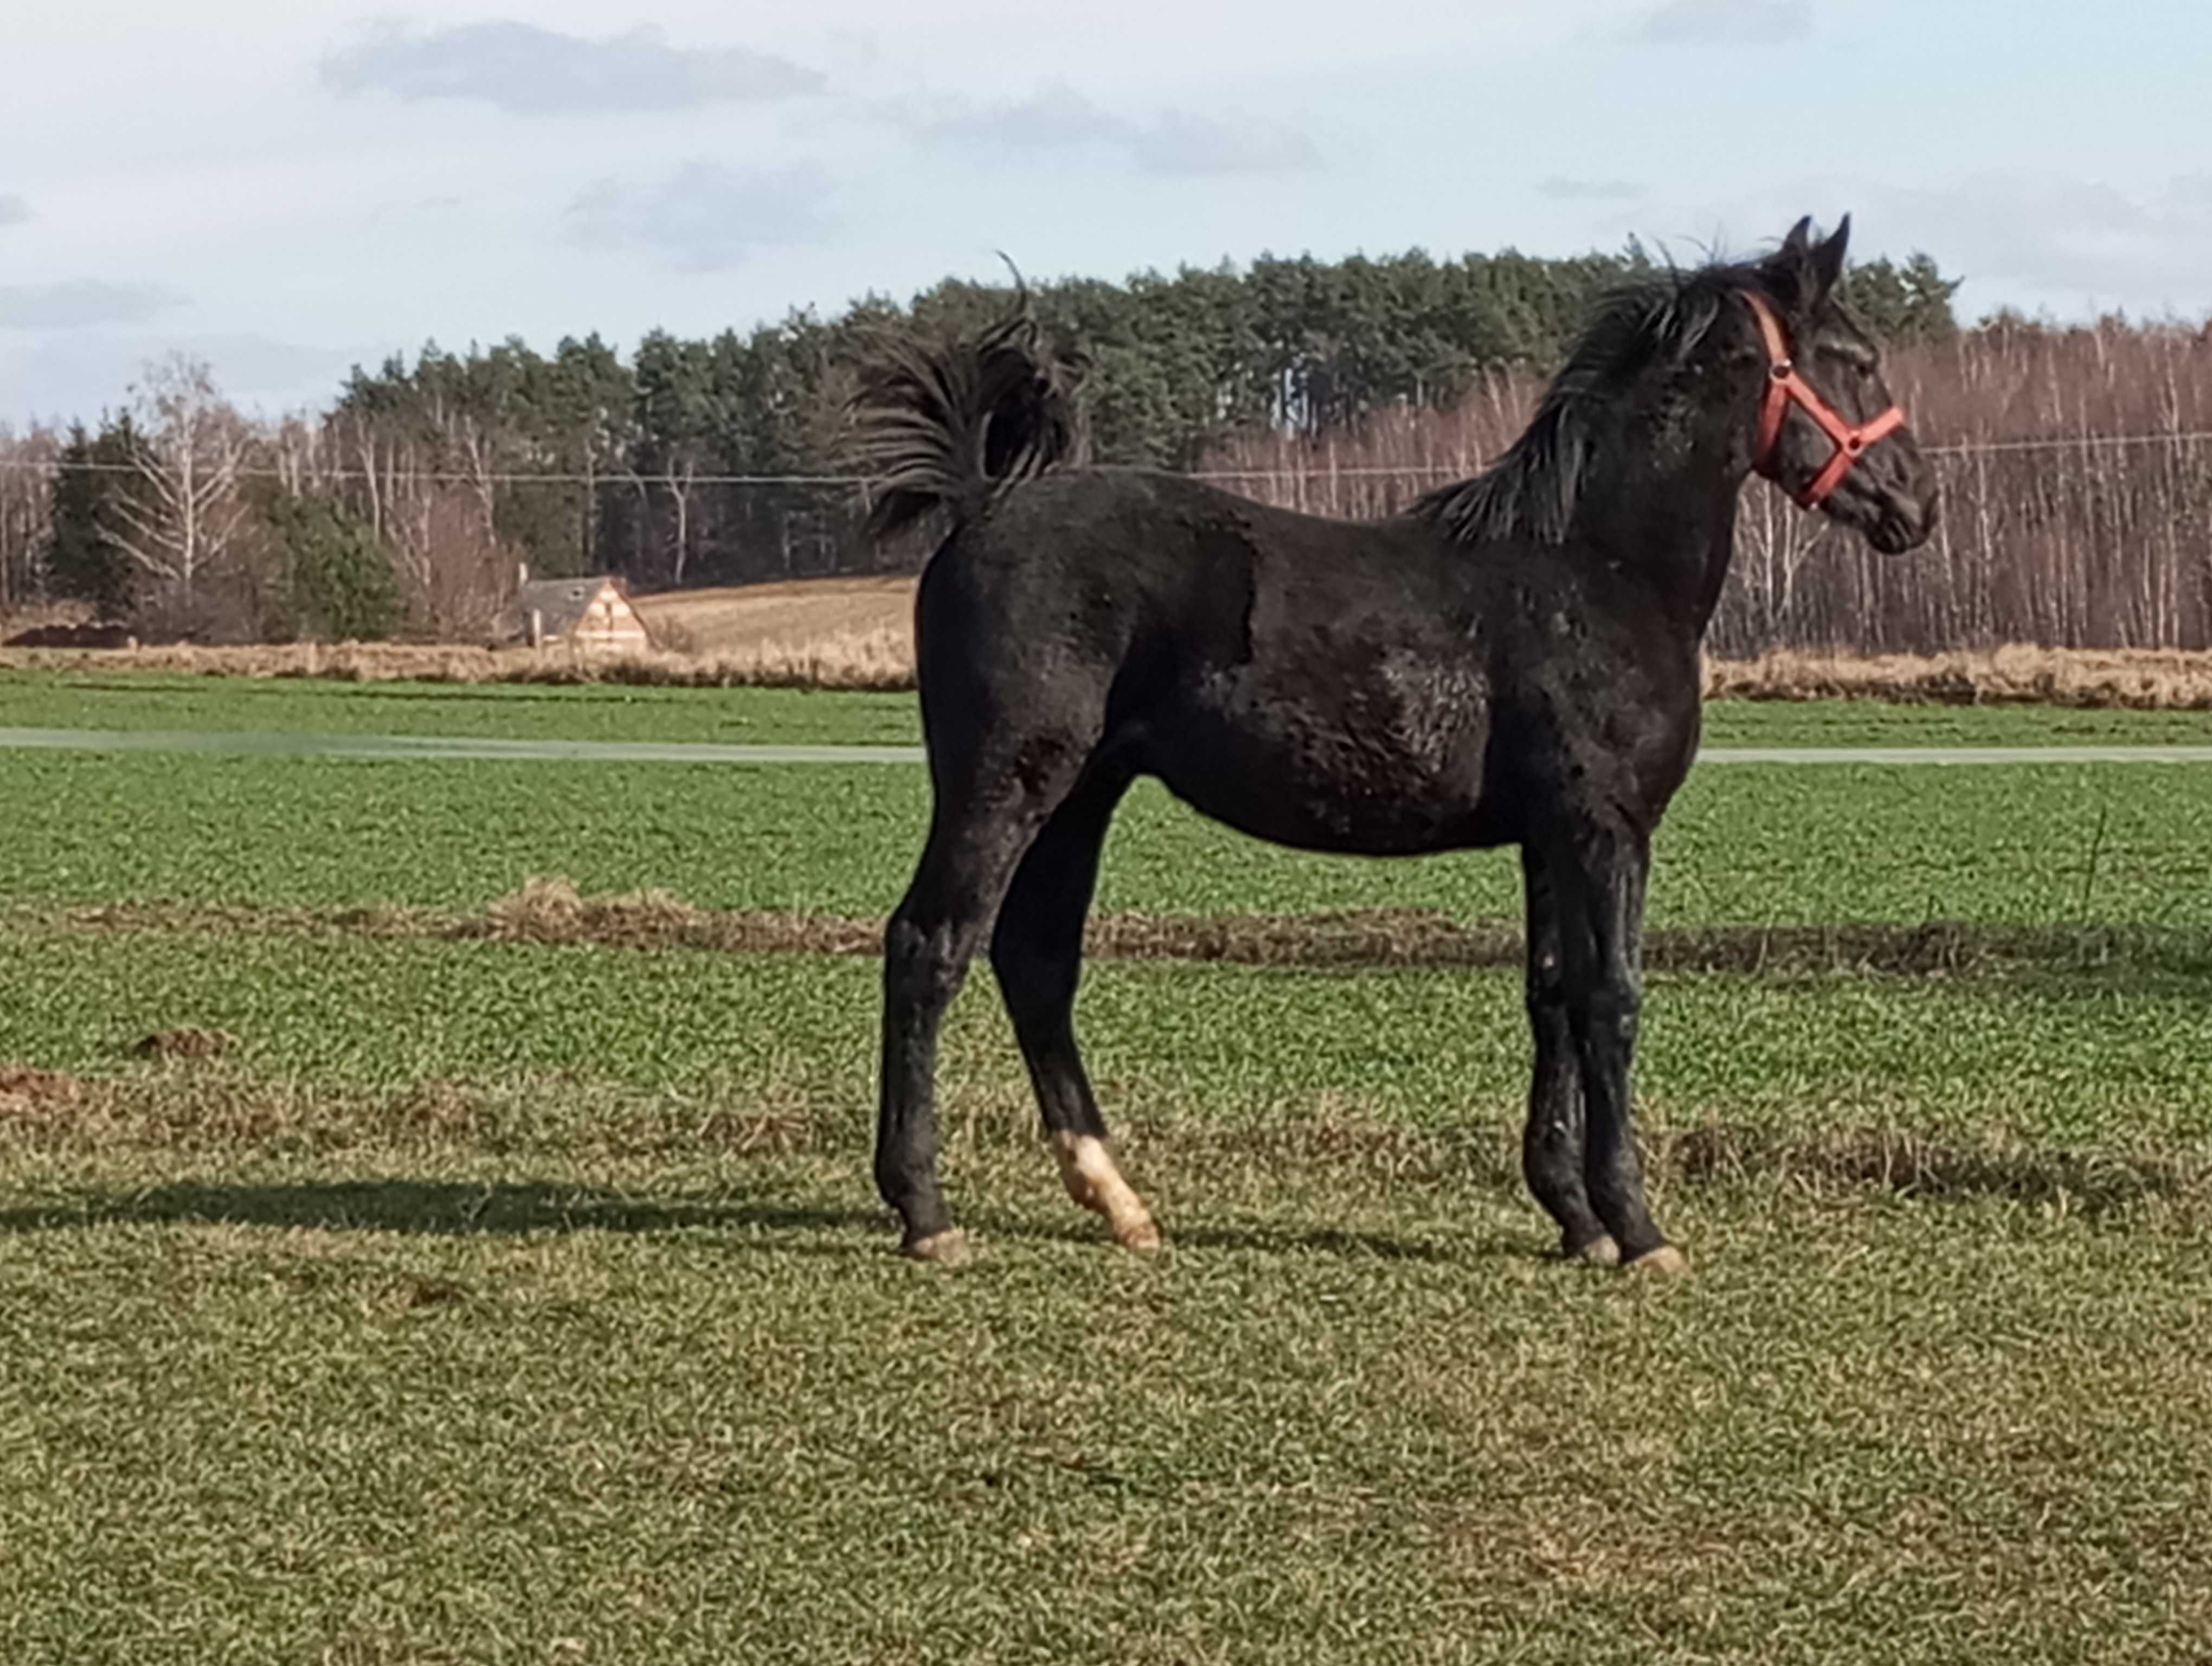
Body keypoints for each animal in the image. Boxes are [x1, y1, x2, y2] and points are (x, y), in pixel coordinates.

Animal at [858, 214, 1938, 1265]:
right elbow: (1612, 999)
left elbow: (1551, 995)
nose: (1917, 505)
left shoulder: (1549, 836)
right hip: (1005, 784)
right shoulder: (1607, 826)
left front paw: (1575, 1218)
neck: (1595, 569)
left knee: (1036, 961)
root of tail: (983, 503)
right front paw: (1638, 1229)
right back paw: (926, 1212)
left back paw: (1119, 1202)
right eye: (1856, 358)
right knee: (929, 945)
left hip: (1083, 794)